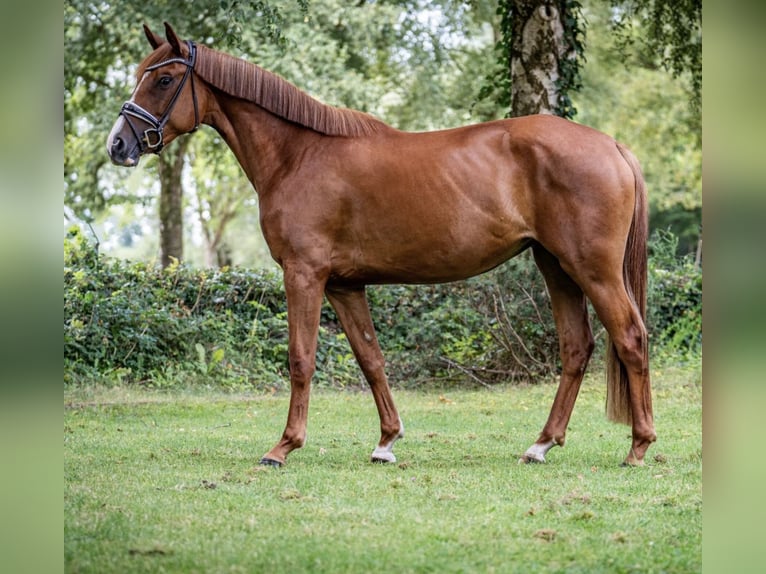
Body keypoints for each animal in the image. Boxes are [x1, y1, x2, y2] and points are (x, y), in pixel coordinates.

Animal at [109, 24, 660, 470]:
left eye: (163, 80)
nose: (118, 144)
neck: (298, 155)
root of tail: (612, 145)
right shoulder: (344, 286)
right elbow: (371, 358)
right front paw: (386, 442)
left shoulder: (304, 274)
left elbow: (300, 359)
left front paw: (282, 448)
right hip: (556, 266)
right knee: (576, 347)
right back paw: (541, 445)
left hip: (592, 268)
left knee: (630, 337)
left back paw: (638, 447)